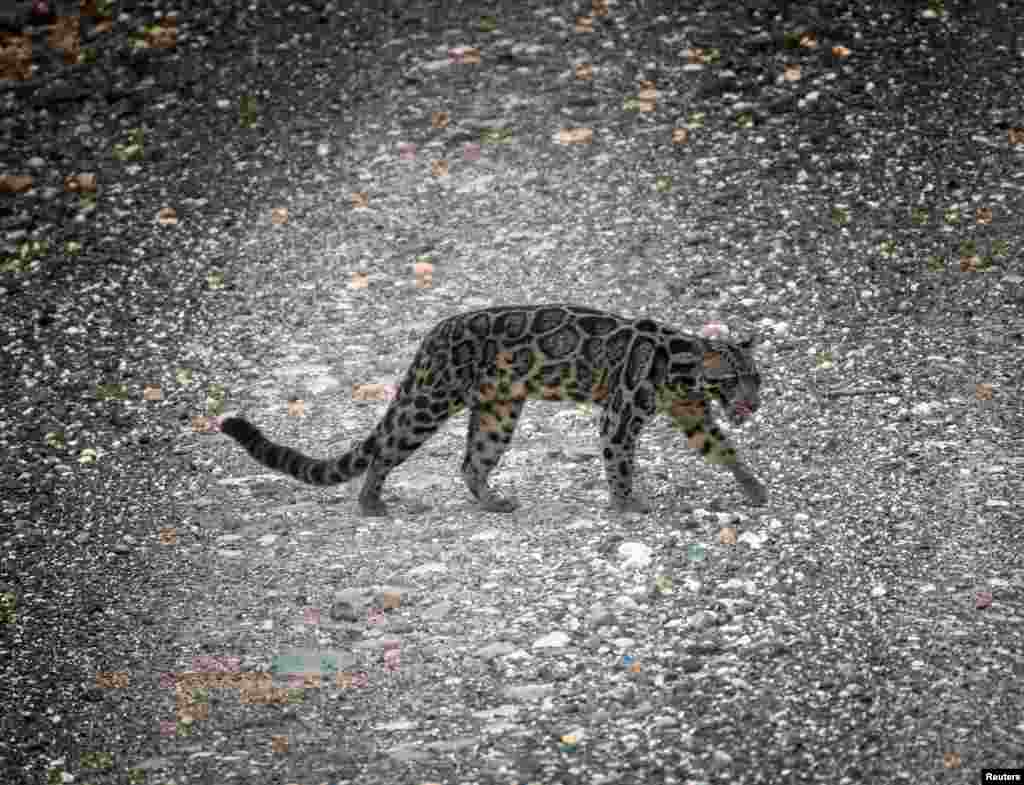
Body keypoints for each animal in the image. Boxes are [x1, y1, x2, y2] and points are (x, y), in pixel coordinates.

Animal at [220, 304, 765, 515]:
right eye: (733, 379)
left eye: (757, 378)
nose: (754, 403)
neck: (685, 372)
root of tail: (432, 334)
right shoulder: (620, 414)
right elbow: (620, 463)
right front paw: (626, 503)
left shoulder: (694, 415)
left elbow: (723, 448)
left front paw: (754, 488)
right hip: (429, 402)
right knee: (384, 452)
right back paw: (371, 503)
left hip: (497, 413)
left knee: (471, 462)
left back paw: (492, 501)